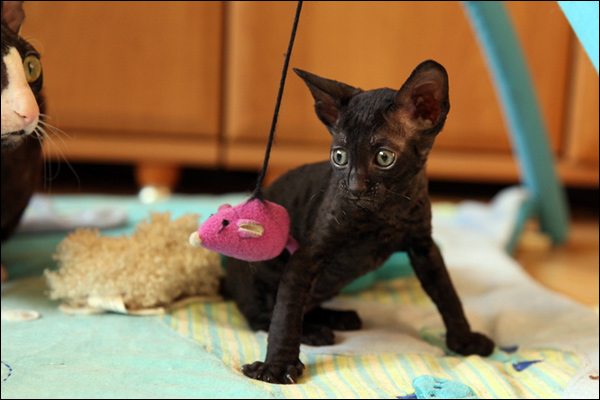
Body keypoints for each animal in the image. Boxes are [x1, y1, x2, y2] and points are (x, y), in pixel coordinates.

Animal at [223, 60, 494, 384]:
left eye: (384, 158)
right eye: (339, 156)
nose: (354, 188)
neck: (386, 212)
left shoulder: (424, 247)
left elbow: (448, 294)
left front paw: (463, 340)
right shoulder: (307, 256)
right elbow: (285, 314)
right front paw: (277, 366)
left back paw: (337, 318)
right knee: (263, 315)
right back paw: (314, 331)